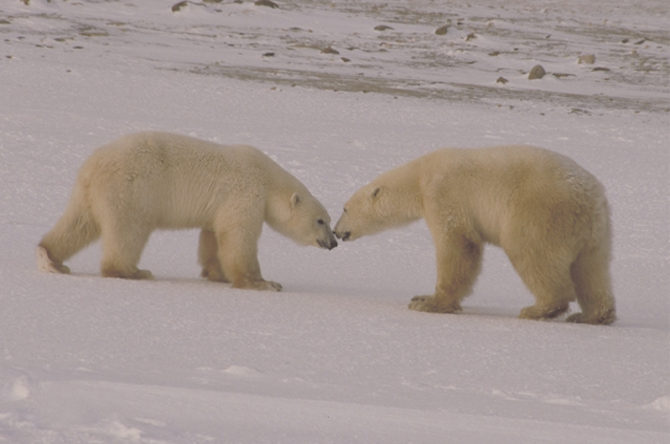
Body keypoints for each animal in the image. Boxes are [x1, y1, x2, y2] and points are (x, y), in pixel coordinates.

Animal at [37, 131, 338, 291]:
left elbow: (213, 236)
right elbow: (238, 237)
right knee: (129, 231)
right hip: (133, 190)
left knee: (78, 223)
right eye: (320, 220)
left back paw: (52, 258)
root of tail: (93, 165)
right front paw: (265, 283)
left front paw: (217, 273)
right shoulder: (246, 194)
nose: (334, 242)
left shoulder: (221, 205)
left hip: (89, 192)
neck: (266, 178)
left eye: (328, 220)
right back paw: (134, 271)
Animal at [334, 145, 616, 325]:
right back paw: (592, 315)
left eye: (345, 208)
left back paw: (539, 309)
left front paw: (427, 302)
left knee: (531, 252)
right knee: (592, 269)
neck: (419, 176)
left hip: (538, 212)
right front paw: (422, 297)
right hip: (596, 232)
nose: (337, 232)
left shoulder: (443, 192)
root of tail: (589, 197)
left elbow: (458, 243)